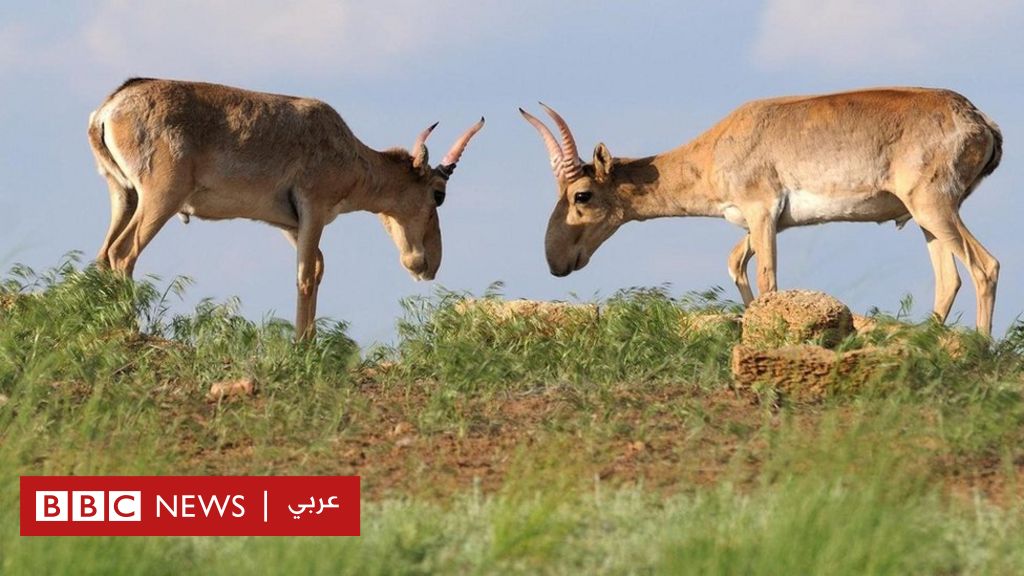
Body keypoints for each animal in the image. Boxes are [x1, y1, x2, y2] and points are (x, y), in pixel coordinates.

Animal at [89, 76, 483, 336]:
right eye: (438, 193)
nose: (428, 265)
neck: (348, 150)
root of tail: (108, 110)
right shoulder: (314, 210)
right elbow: (305, 275)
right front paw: (302, 347)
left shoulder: (288, 225)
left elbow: (318, 268)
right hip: (161, 199)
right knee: (123, 252)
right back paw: (130, 332)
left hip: (124, 195)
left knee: (103, 255)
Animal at [524, 87, 1003, 334]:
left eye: (581, 195)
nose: (556, 262)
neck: (717, 146)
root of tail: (980, 120)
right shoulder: (761, 224)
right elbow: (735, 263)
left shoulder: (762, 213)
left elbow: (769, 278)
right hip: (924, 219)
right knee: (949, 278)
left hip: (934, 207)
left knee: (985, 266)